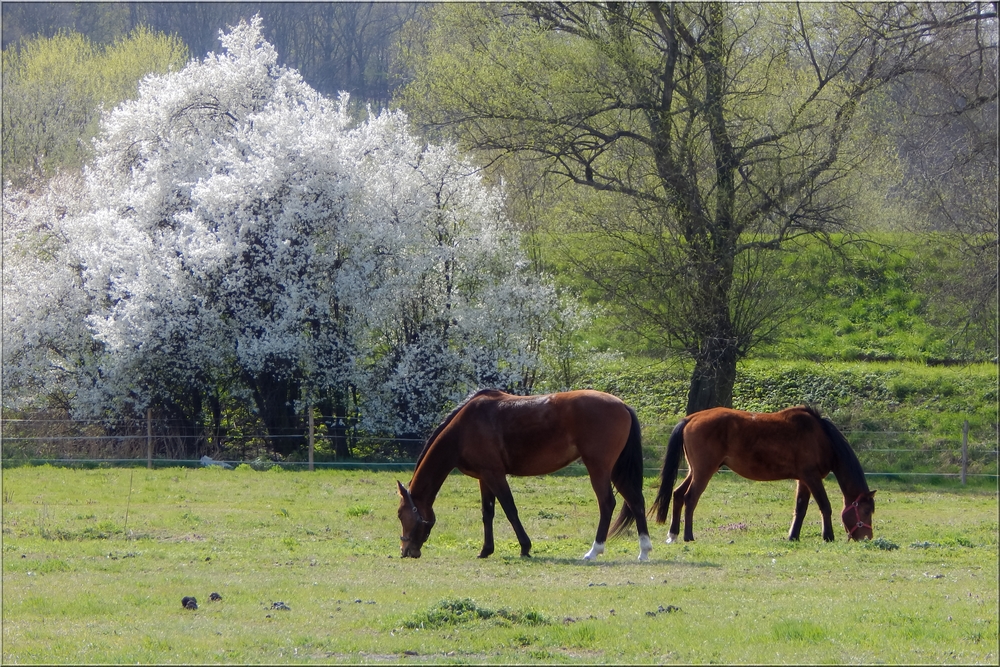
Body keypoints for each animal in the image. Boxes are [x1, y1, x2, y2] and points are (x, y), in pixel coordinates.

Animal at [394, 388, 652, 560]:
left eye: (399, 514)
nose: (406, 551)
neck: (463, 429)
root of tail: (622, 405)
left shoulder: (495, 475)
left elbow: (510, 510)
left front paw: (525, 547)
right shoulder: (485, 478)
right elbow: (487, 513)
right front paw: (486, 550)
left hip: (599, 468)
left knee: (607, 504)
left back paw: (594, 551)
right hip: (616, 469)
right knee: (636, 501)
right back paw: (644, 550)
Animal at [648, 408, 876, 544]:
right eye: (866, 511)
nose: (867, 538)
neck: (821, 437)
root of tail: (691, 418)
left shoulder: (803, 480)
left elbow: (800, 509)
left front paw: (793, 536)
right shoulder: (812, 478)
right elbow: (825, 506)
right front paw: (828, 536)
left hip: (695, 471)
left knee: (678, 495)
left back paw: (673, 534)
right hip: (704, 472)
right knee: (690, 498)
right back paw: (688, 536)